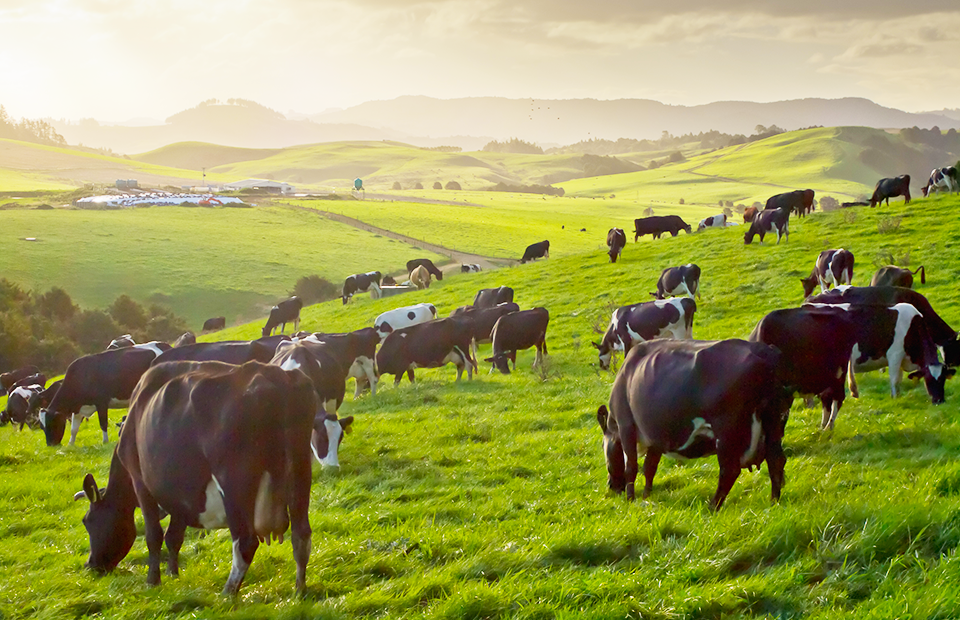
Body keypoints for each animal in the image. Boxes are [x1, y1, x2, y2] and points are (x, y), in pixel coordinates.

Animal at [40, 340, 171, 446]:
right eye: (42, 427)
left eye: (53, 423)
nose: (50, 445)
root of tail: (164, 345)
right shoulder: (78, 408)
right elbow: (74, 429)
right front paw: (70, 445)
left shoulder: (101, 403)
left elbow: (103, 423)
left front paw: (105, 441)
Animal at [76, 360, 316, 592]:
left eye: (88, 521)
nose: (90, 565)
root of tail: (277, 376)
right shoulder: (181, 497)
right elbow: (174, 536)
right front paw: (173, 573)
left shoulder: (140, 482)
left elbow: (154, 535)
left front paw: (153, 581)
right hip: (300, 470)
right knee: (301, 535)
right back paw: (300, 590)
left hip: (234, 483)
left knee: (246, 541)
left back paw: (227, 593)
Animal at [596, 340, 792, 508]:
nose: (612, 487)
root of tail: (764, 351)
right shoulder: (656, 437)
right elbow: (650, 467)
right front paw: (646, 496)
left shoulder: (626, 425)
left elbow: (632, 466)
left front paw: (631, 500)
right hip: (774, 422)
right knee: (776, 460)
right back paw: (773, 502)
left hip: (727, 431)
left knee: (729, 470)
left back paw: (712, 507)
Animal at [804, 300, 952, 402]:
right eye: (928, 379)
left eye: (943, 379)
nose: (939, 401)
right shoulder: (894, 355)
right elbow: (894, 379)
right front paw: (895, 398)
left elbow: (899, 379)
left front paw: (898, 395)